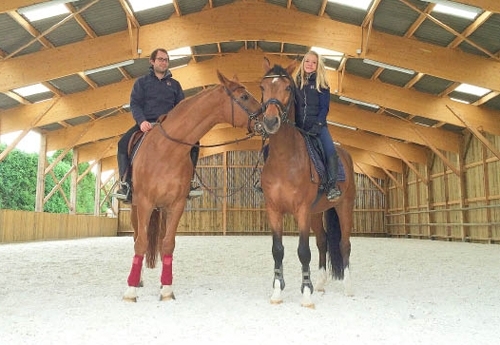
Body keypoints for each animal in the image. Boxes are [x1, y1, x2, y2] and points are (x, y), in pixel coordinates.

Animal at [123, 70, 262, 300]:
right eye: (244, 97)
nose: (271, 119)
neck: (166, 150)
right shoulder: (144, 202)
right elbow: (141, 242)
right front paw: (131, 291)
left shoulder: (177, 205)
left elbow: (168, 244)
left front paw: (167, 289)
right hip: (135, 207)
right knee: (136, 237)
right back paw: (139, 279)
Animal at [258, 57, 356, 306]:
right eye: (262, 87)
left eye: (287, 88)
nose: (270, 121)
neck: (285, 158)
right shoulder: (274, 210)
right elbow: (277, 250)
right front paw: (277, 292)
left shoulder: (301, 210)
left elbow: (303, 251)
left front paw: (306, 294)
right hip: (316, 213)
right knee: (323, 242)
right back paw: (320, 283)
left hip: (344, 207)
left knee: (344, 244)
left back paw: (348, 288)